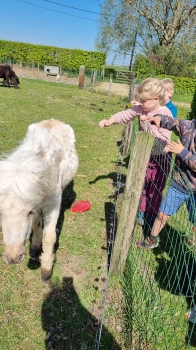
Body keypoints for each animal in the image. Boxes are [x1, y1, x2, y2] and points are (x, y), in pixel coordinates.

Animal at [0, 120, 78, 282]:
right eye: (0, 213)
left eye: (29, 212)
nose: (13, 258)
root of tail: (53, 120)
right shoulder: (37, 203)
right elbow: (36, 226)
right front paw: (35, 250)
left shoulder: (52, 205)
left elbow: (49, 237)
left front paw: (46, 270)